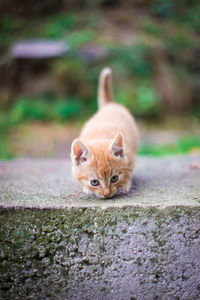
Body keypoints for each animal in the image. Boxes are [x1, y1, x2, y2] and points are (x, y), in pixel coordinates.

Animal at [70, 68, 139, 199]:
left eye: (114, 178)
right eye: (94, 182)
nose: (107, 194)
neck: (100, 138)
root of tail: (110, 104)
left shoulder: (130, 156)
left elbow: (129, 171)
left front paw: (124, 185)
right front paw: (87, 189)